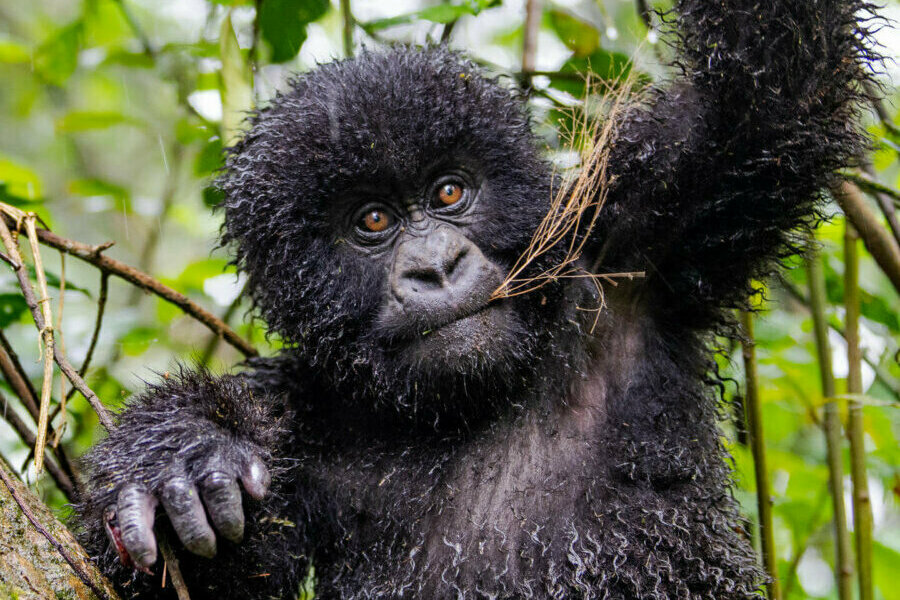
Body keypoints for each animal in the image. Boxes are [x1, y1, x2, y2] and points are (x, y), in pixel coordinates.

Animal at [75, 0, 879, 598]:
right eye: (373, 221)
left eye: (449, 193)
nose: (436, 267)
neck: (474, 405)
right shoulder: (300, 418)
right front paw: (182, 450)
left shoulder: (638, 235)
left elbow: (772, 86)